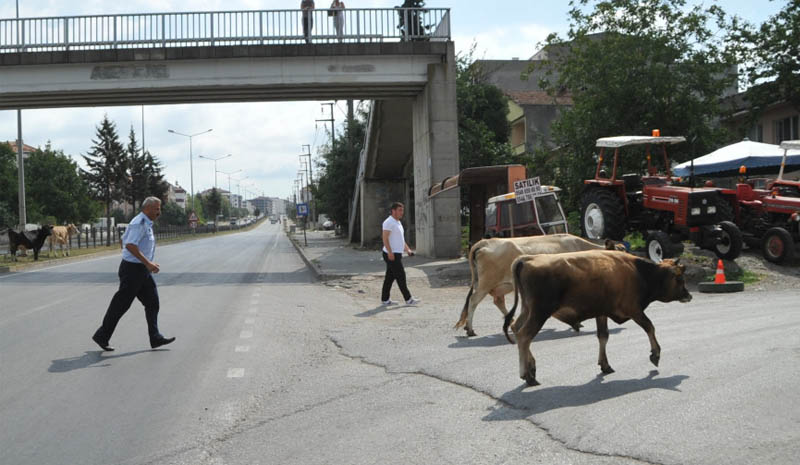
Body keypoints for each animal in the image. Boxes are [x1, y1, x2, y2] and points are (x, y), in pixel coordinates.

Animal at [456, 234, 624, 336]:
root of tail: (484, 241)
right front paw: (576, 323)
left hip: (497, 285)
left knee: (497, 301)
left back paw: (510, 322)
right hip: (486, 283)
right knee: (474, 300)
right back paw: (470, 329)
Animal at [504, 248, 692, 386]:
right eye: (679, 278)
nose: (689, 295)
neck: (640, 272)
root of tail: (527, 259)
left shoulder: (602, 312)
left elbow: (603, 336)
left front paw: (605, 365)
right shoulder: (634, 309)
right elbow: (650, 326)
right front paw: (655, 354)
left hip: (528, 309)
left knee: (517, 328)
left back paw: (531, 368)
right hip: (539, 313)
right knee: (524, 336)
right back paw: (527, 375)